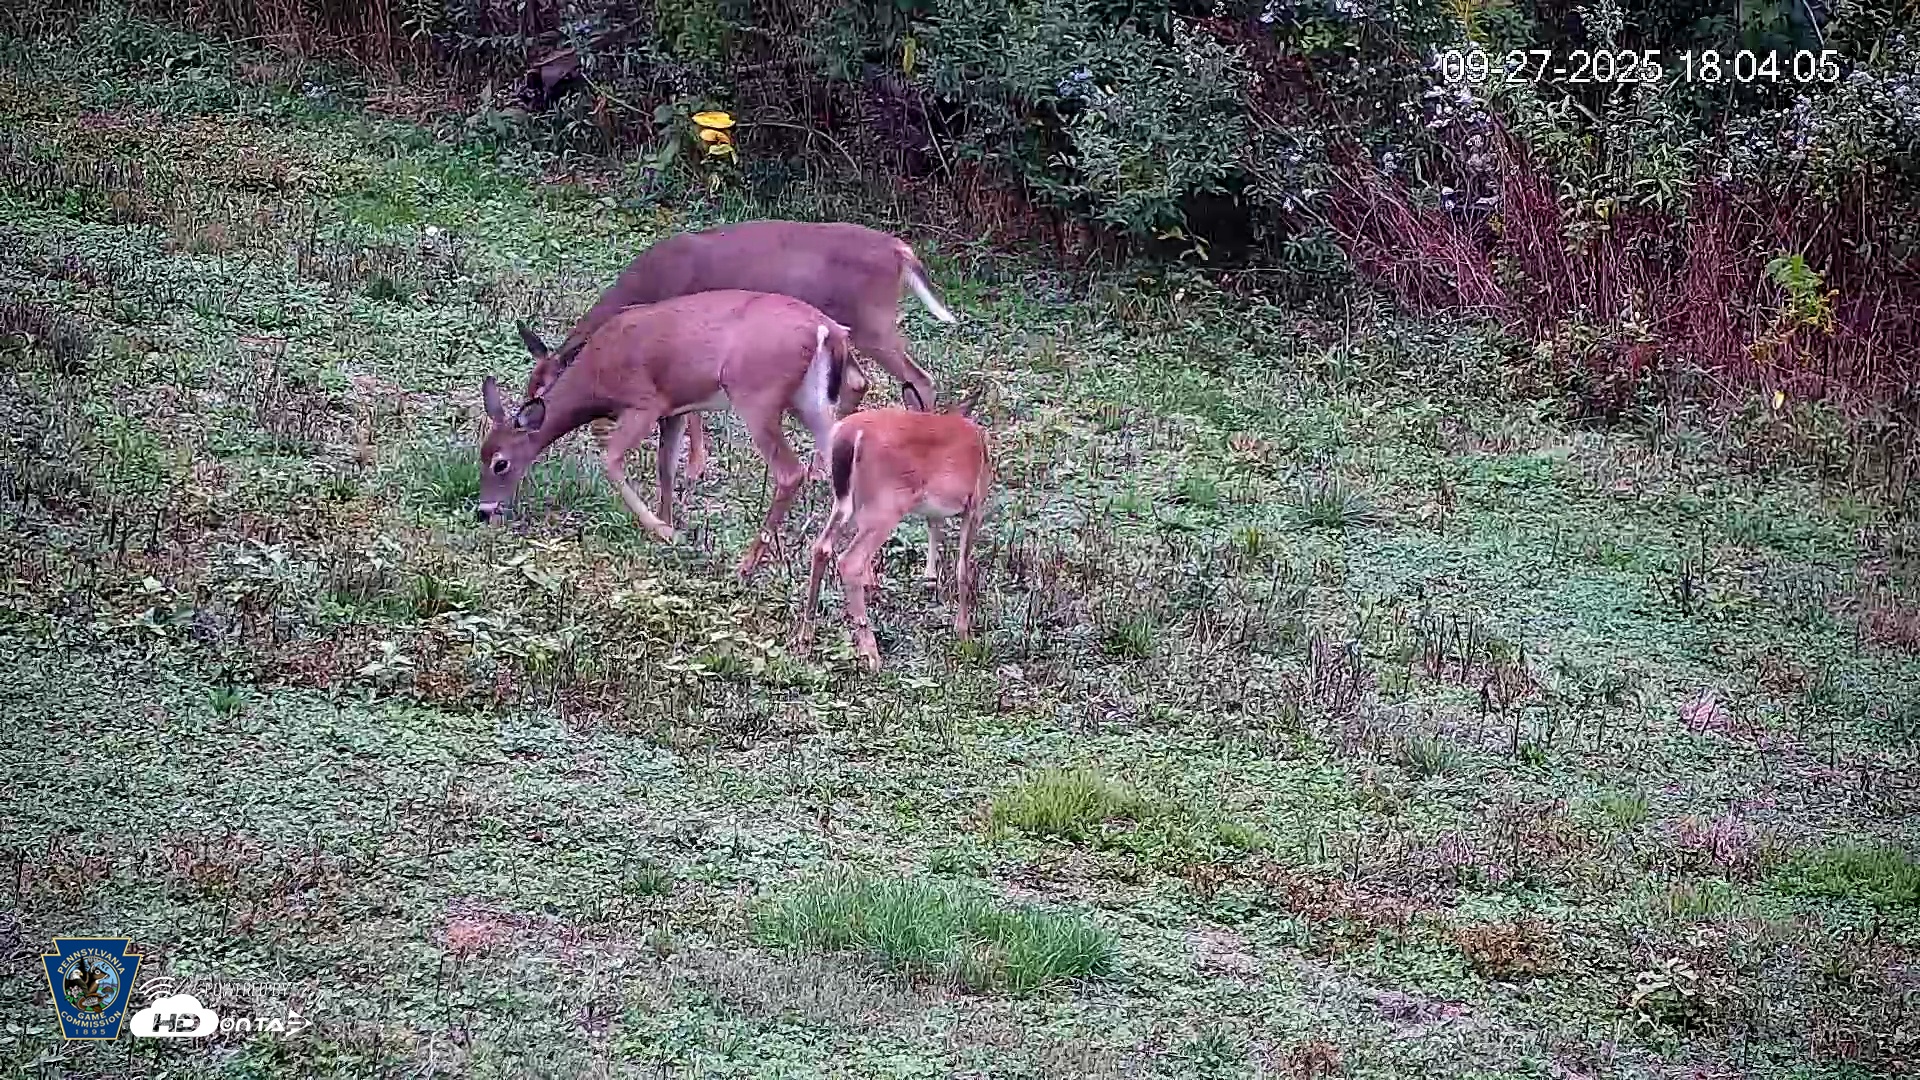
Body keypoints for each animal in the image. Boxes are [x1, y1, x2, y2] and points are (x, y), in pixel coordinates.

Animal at [475, 289, 871, 580]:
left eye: (500, 463)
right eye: (480, 454)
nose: (483, 510)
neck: (596, 377)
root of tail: (827, 330)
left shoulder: (644, 403)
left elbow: (611, 461)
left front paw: (663, 530)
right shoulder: (674, 411)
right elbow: (665, 468)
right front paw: (667, 524)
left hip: (757, 395)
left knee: (790, 472)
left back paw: (747, 565)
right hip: (812, 403)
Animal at [514, 219, 955, 486]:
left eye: (542, 391)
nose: (528, 425)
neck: (649, 283)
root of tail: (901, 252)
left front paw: (693, 468)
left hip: (872, 322)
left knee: (919, 379)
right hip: (849, 331)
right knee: (859, 383)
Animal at [793, 387, 991, 673]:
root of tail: (850, 435)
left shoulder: (935, 510)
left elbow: (934, 532)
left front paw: (930, 580)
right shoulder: (974, 504)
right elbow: (963, 569)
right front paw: (964, 632)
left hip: (846, 502)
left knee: (821, 547)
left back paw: (805, 637)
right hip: (885, 504)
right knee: (850, 561)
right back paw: (871, 654)